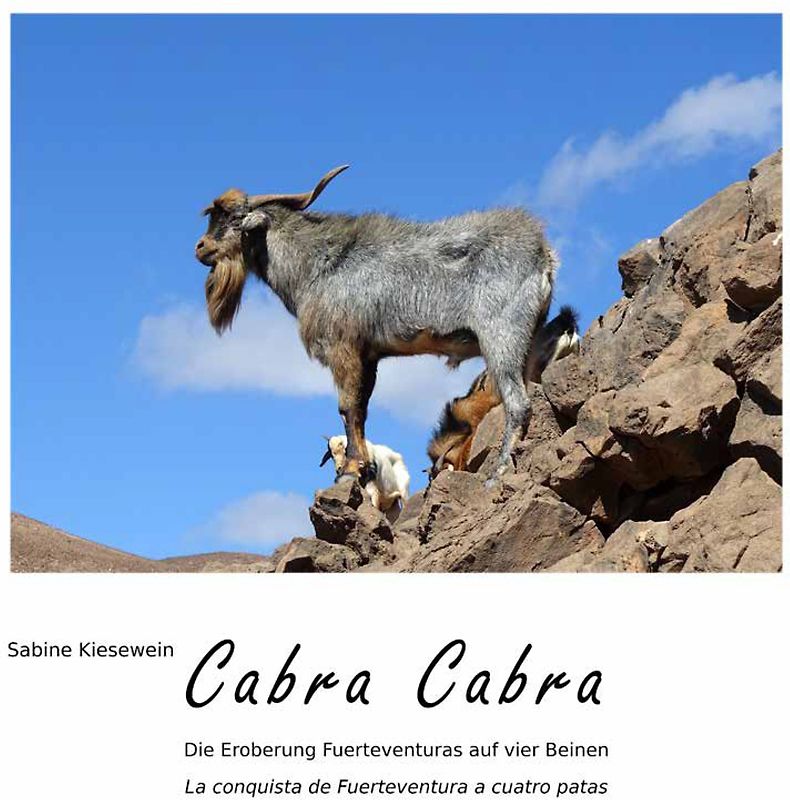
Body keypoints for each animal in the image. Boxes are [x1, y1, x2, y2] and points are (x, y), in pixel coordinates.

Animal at [195, 165, 558, 484]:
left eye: (236, 219)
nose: (201, 247)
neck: (316, 265)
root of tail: (544, 255)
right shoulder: (368, 355)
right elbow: (362, 409)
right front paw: (362, 466)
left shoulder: (343, 347)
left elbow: (347, 407)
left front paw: (350, 469)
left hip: (502, 337)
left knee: (517, 403)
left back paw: (498, 474)